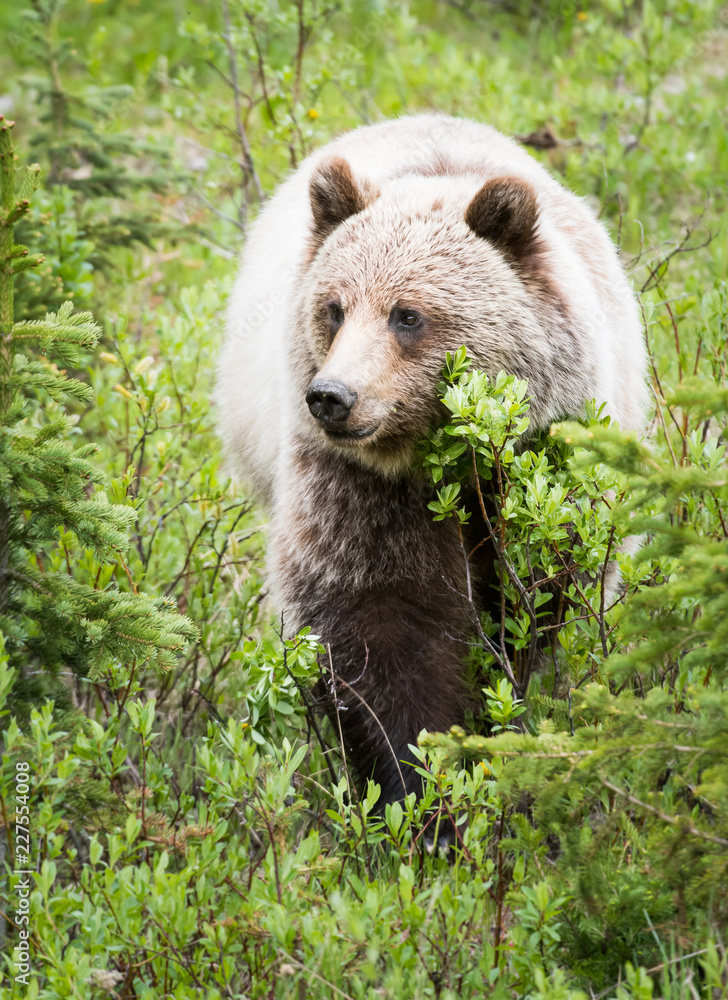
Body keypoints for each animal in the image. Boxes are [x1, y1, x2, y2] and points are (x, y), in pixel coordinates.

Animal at [216, 113, 648, 813]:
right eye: (334, 307)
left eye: (407, 314)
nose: (331, 396)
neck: (445, 457)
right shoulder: (358, 488)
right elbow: (377, 624)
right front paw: (420, 786)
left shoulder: (547, 468)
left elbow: (534, 606)